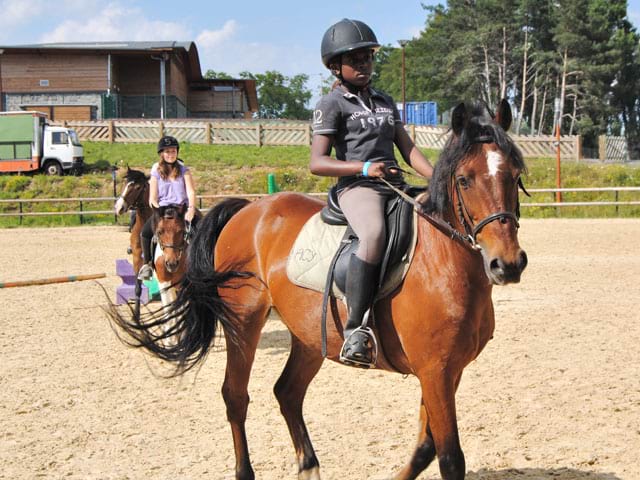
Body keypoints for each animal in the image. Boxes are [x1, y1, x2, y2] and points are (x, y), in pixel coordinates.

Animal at [107, 99, 528, 478]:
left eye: (514, 175)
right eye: (464, 180)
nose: (506, 264)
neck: (441, 261)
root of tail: (248, 210)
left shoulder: (446, 372)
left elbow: (426, 447)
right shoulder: (435, 370)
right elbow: (449, 457)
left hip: (311, 334)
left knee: (288, 392)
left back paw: (308, 466)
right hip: (244, 323)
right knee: (235, 396)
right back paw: (246, 469)